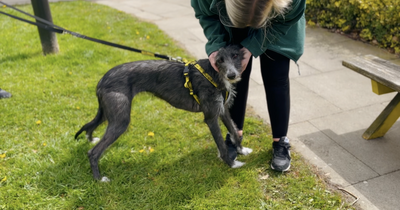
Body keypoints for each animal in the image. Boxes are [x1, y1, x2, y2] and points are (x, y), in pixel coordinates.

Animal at [74, 44, 253, 180]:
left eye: (235, 55)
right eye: (220, 60)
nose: (232, 75)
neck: (214, 73)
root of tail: (102, 79)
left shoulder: (223, 111)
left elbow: (235, 132)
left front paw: (241, 150)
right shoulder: (211, 117)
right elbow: (222, 145)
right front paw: (232, 164)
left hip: (108, 113)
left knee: (91, 127)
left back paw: (90, 139)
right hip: (120, 120)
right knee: (93, 152)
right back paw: (99, 179)